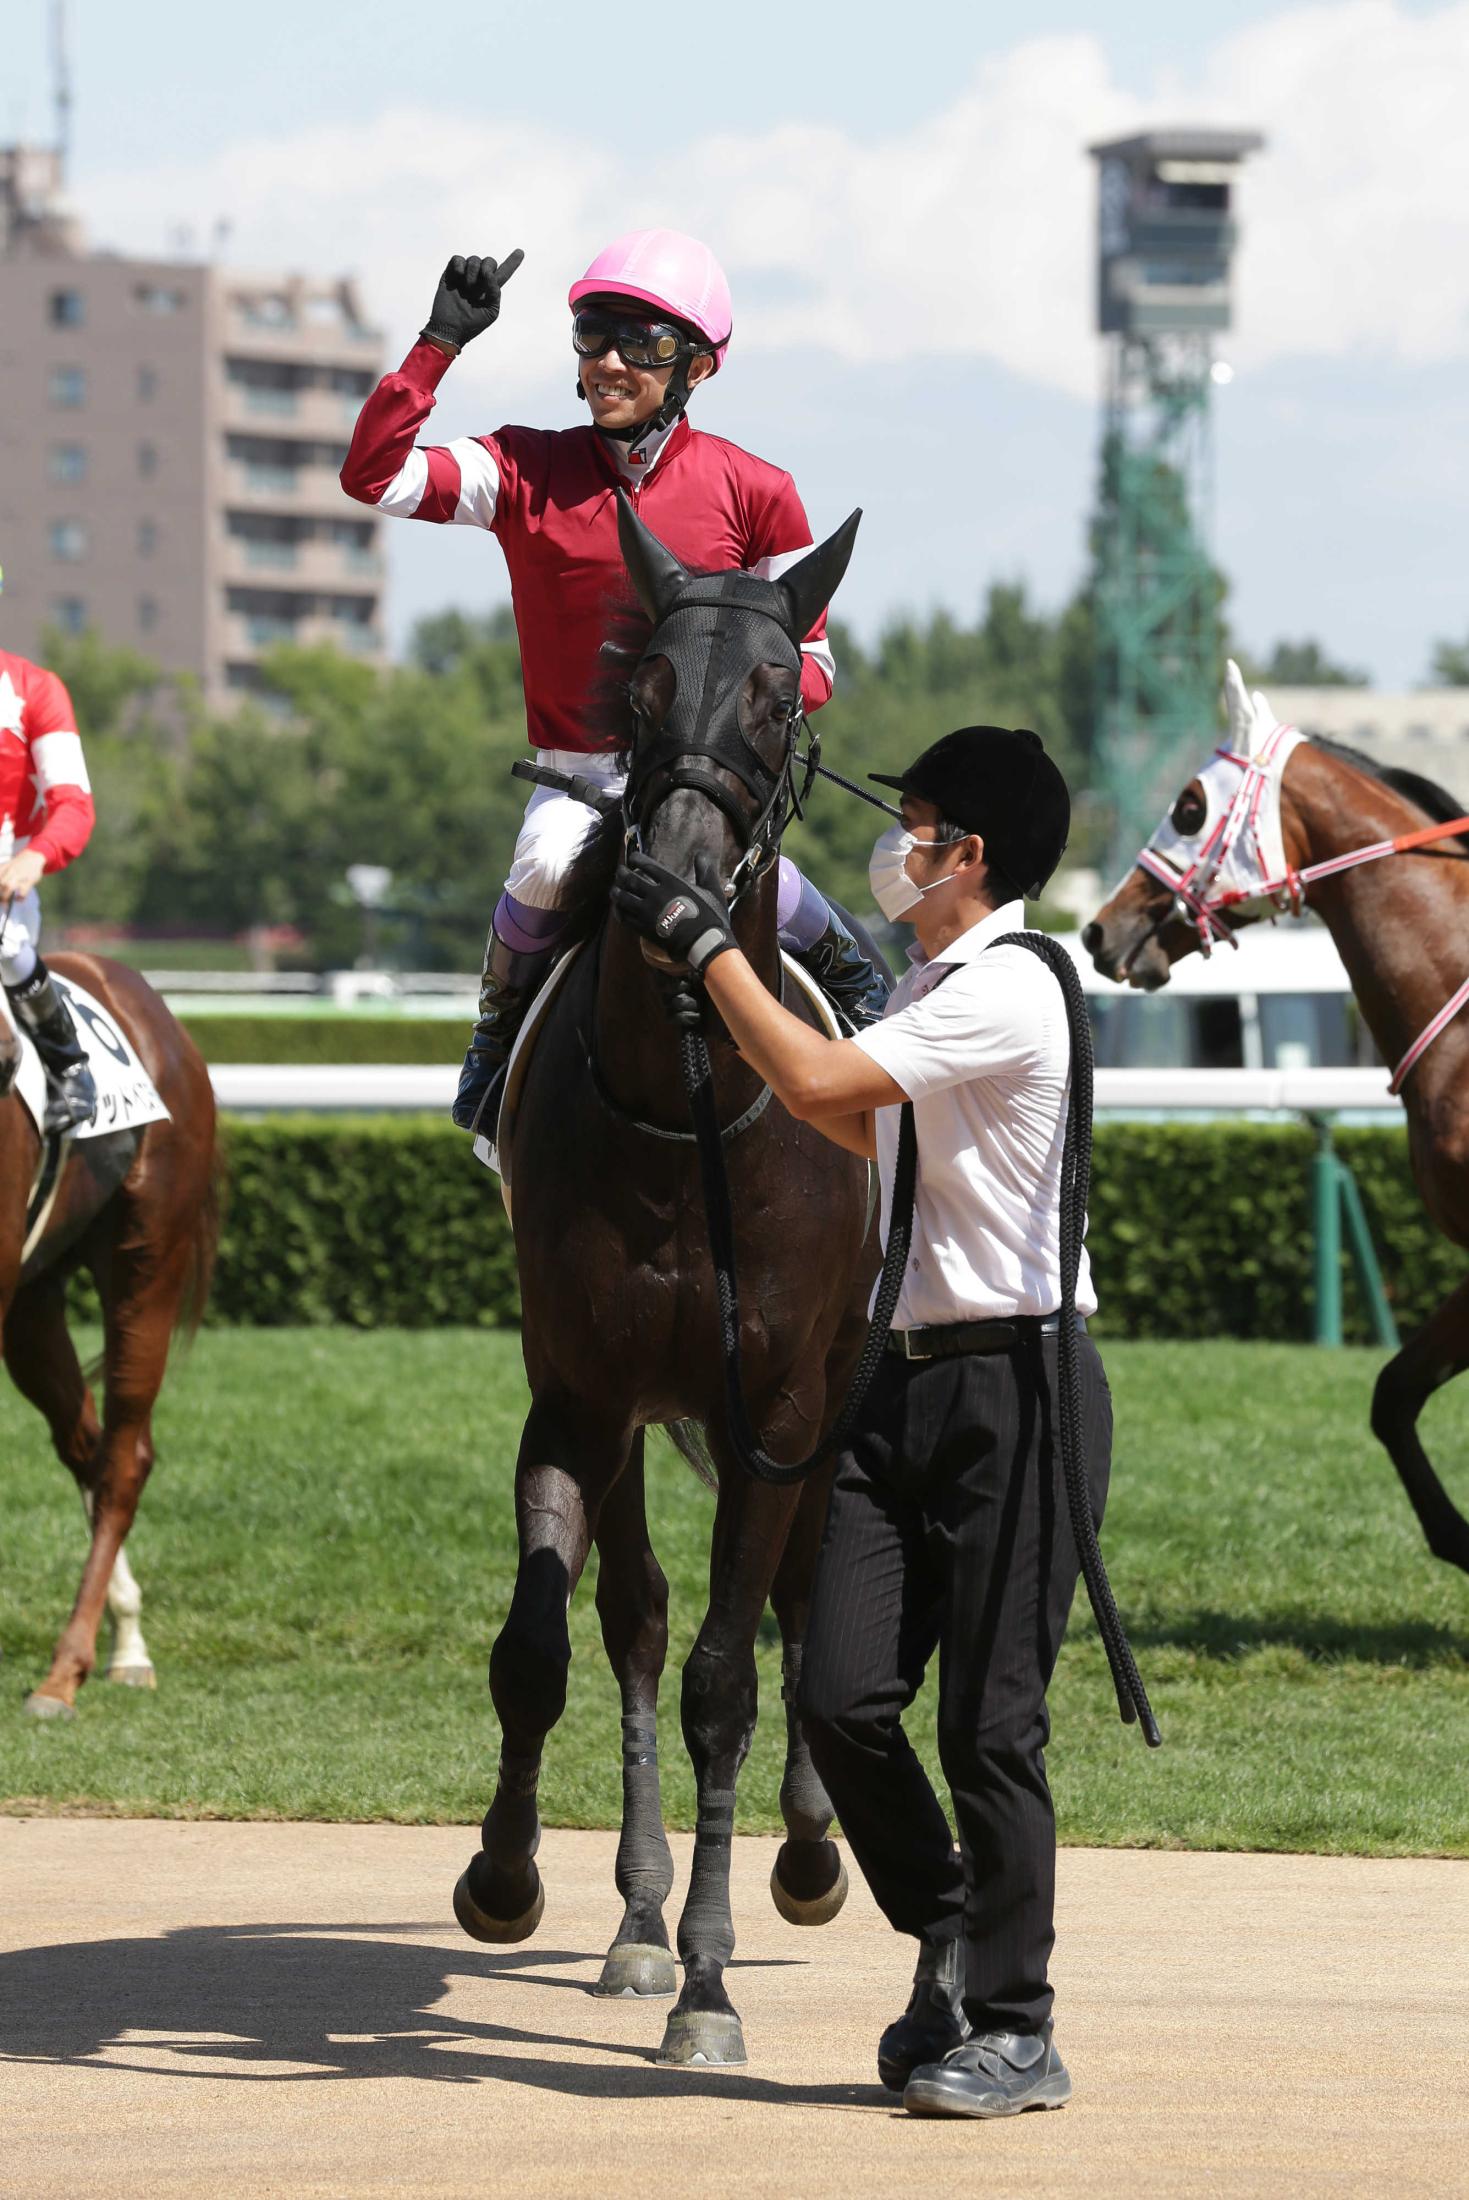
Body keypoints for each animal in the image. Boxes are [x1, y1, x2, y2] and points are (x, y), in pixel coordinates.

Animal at [4, 959, 217, 1716]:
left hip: (145, 1262)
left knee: (124, 1458)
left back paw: (69, 1670)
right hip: (31, 1301)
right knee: (86, 1445)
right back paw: (125, 1636)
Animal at [453, 495, 879, 2059]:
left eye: (775, 691)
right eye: (635, 689)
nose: (674, 886)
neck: (680, 1109)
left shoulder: (779, 1405)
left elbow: (725, 1674)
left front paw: (708, 1978)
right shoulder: (580, 1390)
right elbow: (549, 1643)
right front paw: (509, 1880)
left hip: (828, 1393)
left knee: (795, 1599)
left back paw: (804, 1856)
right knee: (630, 1619)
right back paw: (633, 1924)